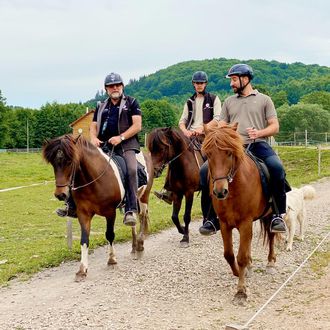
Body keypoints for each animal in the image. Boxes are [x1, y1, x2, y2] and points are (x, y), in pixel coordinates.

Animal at [42, 134, 154, 282]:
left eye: (70, 162)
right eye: (53, 164)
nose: (60, 194)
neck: (94, 179)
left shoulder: (110, 212)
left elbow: (110, 235)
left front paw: (112, 261)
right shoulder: (83, 213)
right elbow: (84, 240)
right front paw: (82, 270)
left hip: (143, 198)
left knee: (142, 218)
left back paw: (140, 246)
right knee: (133, 223)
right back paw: (134, 248)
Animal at [202, 124, 278, 304]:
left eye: (229, 153)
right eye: (208, 154)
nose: (220, 192)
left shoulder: (245, 222)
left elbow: (241, 256)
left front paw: (241, 291)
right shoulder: (225, 224)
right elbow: (229, 254)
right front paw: (238, 273)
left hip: (269, 215)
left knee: (271, 235)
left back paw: (270, 262)